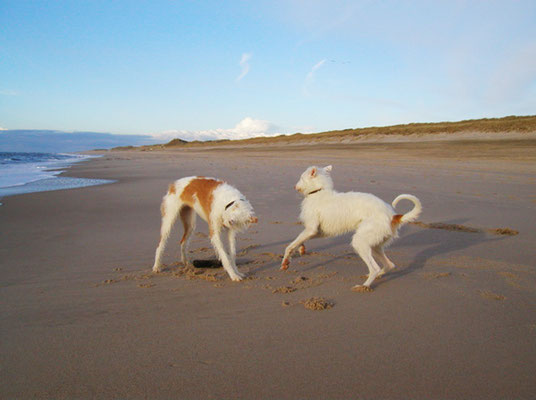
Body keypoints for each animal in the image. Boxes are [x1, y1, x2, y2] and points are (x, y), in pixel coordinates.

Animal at [282, 165, 420, 290]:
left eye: (301, 177)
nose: (294, 187)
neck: (319, 191)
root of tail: (392, 216)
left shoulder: (311, 229)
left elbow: (289, 246)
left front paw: (285, 262)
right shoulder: (318, 232)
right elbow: (299, 241)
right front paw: (301, 249)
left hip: (360, 242)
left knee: (375, 268)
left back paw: (364, 286)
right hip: (375, 245)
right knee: (389, 265)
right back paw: (375, 277)